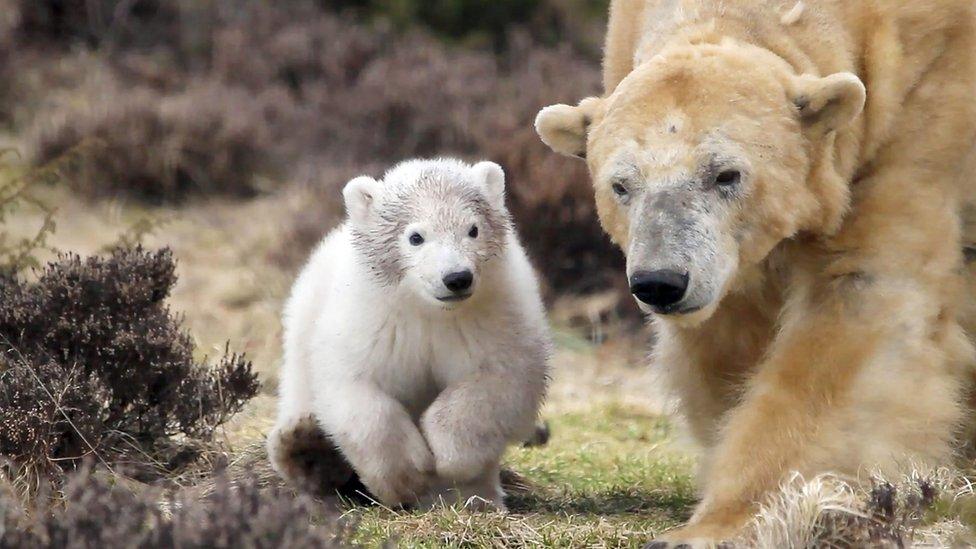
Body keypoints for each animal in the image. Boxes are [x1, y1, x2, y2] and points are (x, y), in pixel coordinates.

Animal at [536, 0, 976, 544]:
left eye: (727, 174)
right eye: (620, 184)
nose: (660, 282)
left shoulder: (919, 109)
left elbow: (855, 308)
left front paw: (719, 525)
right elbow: (731, 329)